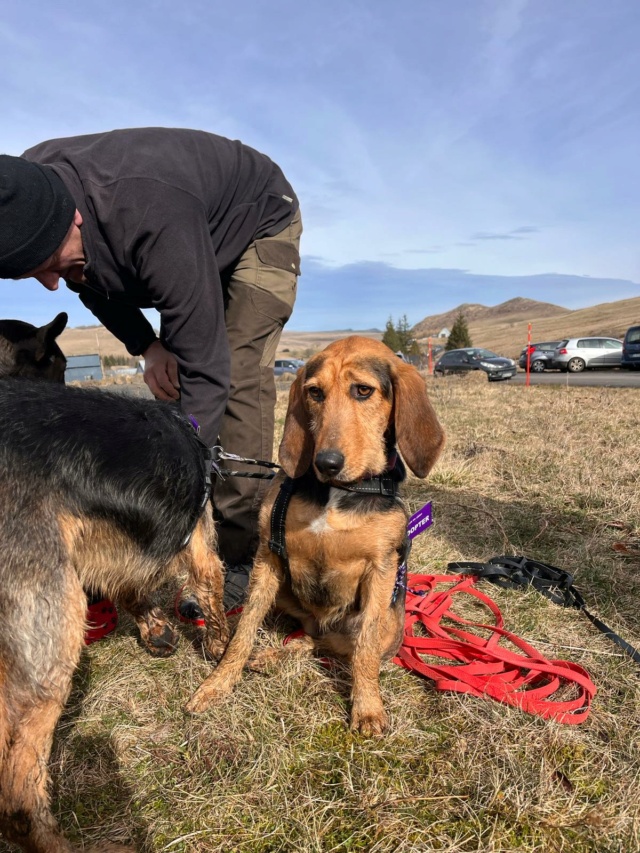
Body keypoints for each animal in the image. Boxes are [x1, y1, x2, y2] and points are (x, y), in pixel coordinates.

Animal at [0, 312, 228, 852]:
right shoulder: (200, 545)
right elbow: (213, 590)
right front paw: (218, 647)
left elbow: (132, 586)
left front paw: (158, 630)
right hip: (51, 640)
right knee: (17, 795)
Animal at [186, 336, 444, 736]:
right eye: (315, 393)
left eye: (363, 390)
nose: (326, 463)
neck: (339, 492)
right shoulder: (268, 558)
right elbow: (243, 631)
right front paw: (218, 684)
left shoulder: (382, 571)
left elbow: (365, 651)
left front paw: (367, 707)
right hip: (285, 594)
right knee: (312, 637)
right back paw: (273, 653)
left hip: (390, 623)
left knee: (335, 646)